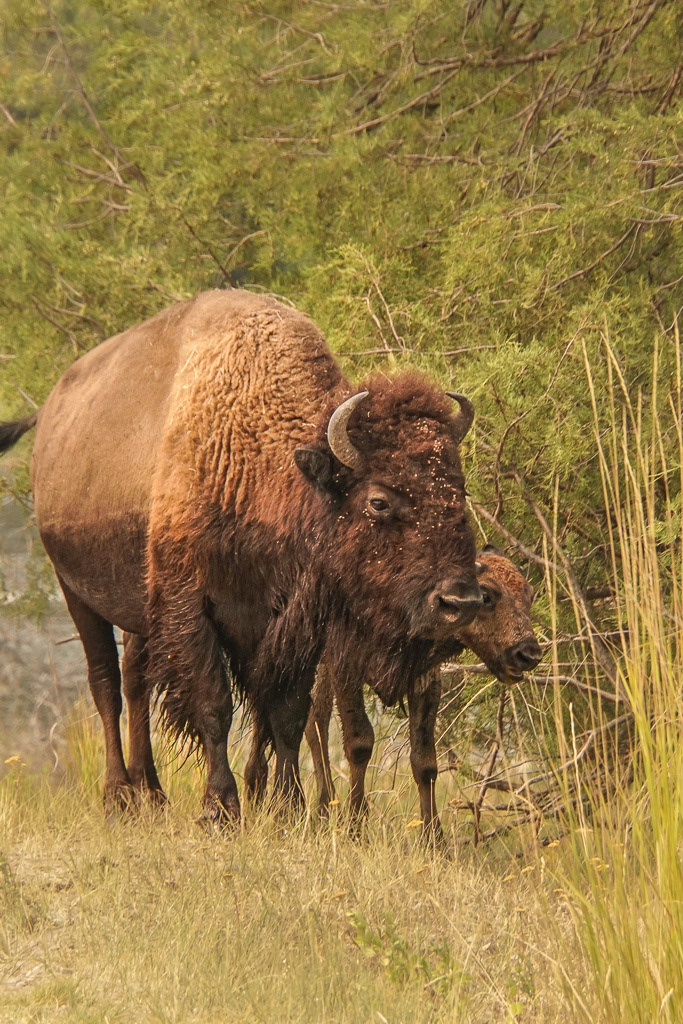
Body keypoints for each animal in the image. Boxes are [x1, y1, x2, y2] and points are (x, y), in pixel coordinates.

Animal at [0, 289, 484, 824]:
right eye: (378, 500)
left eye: (459, 489)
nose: (459, 602)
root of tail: (50, 415)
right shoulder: (192, 607)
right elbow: (215, 705)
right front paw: (221, 806)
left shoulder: (293, 625)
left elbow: (288, 713)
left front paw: (288, 806)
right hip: (77, 593)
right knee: (105, 683)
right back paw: (119, 795)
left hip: (138, 610)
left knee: (135, 683)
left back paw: (153, 793)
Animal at [244, 546, 542, 837]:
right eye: (487, 595)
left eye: (529, 595)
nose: (529, 654)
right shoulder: (346, 667)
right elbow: (359, 743)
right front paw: (355, 827)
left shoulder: (425, 681)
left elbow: (425, 761)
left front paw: (434, 839)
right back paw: (260, 791)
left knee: (313, 721)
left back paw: (318, 807)